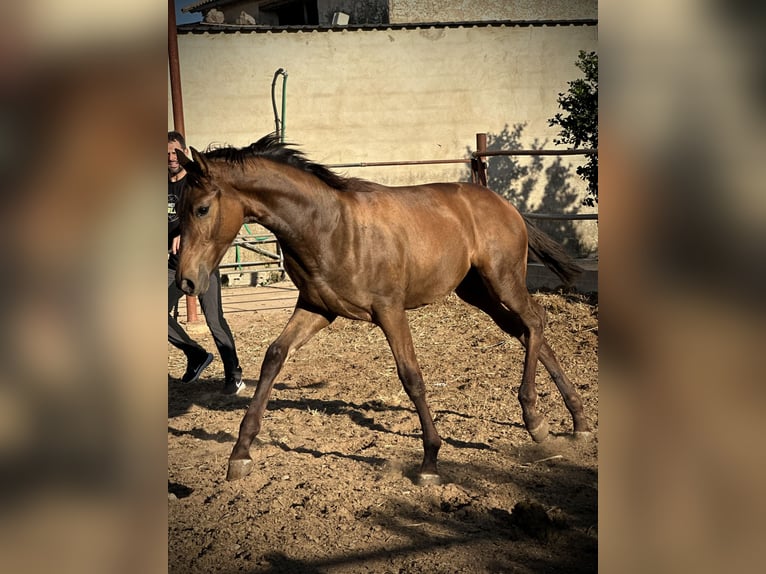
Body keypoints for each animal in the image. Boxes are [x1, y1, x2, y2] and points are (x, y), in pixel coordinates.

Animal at [176, 135, 592, 486]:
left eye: (202, 208)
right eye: (178, 208)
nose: (186, 281)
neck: (328, 226)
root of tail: (505, 205)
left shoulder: (390, 310)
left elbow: (411, 376)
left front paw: (430, 461)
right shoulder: (316, 307)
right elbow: (274, 356)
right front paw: (240, 454)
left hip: (502, 280)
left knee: (535, 321)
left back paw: (535, 415)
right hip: (478, 291)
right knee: (526, 331)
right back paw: (571, 421)